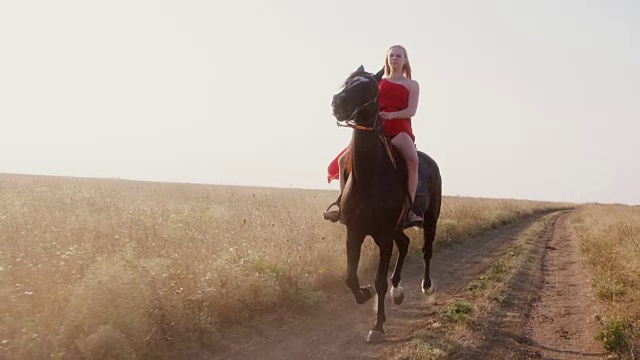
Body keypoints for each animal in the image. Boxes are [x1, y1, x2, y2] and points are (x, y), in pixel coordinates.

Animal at [330, 67, 440, 344]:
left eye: (371, 88)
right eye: (347, 82)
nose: (338, 102)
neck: (370, 176)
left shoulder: (383, 235)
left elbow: (380, 281)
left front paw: (378, 326)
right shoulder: (355, 232)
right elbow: (350, 277)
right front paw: (364, 293)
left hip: (429, 220)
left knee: (427, 250)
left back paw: (426, 286)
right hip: (395, 230)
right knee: (406, 243)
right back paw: (397, 290)